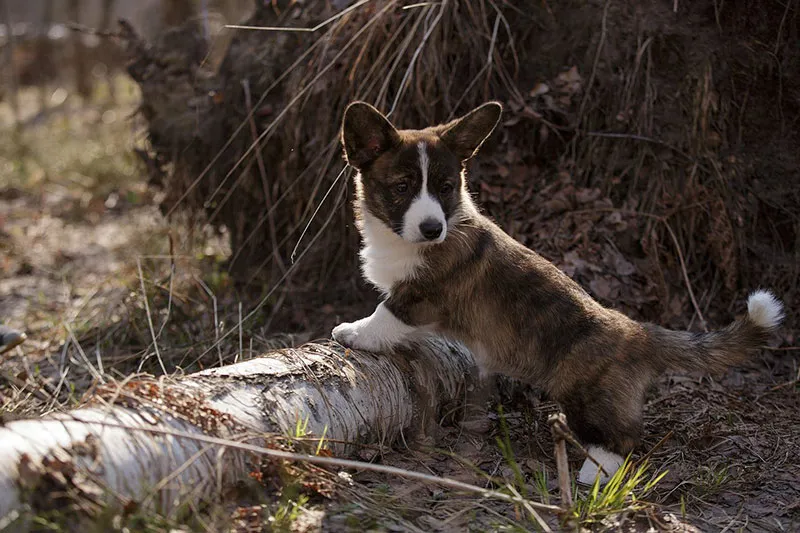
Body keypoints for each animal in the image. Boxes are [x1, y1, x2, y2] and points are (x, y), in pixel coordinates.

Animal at [328, 101, 784, 486]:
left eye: (444, 187)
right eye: (403, 186)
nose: (432, 229)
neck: (402, 240)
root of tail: (638, 332)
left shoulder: (423, 294)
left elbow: (387, 313)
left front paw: (354, 332)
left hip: (588, 396)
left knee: (624, 438)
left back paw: (593, 473)